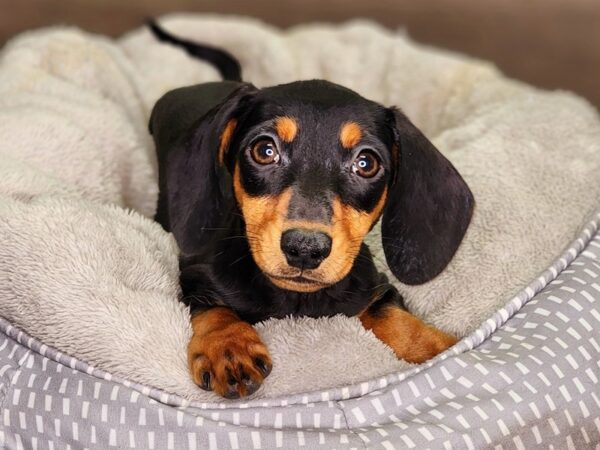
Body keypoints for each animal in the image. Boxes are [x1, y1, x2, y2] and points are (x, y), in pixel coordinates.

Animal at [149, 22, 474, 400]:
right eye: (264, 150)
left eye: (366, 163)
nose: (305, 248)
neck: (296, 301)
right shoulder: (193, 274)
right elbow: (214, 306)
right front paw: (229, 347)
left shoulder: (371, 286)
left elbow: (390, 312)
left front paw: (439, 347)